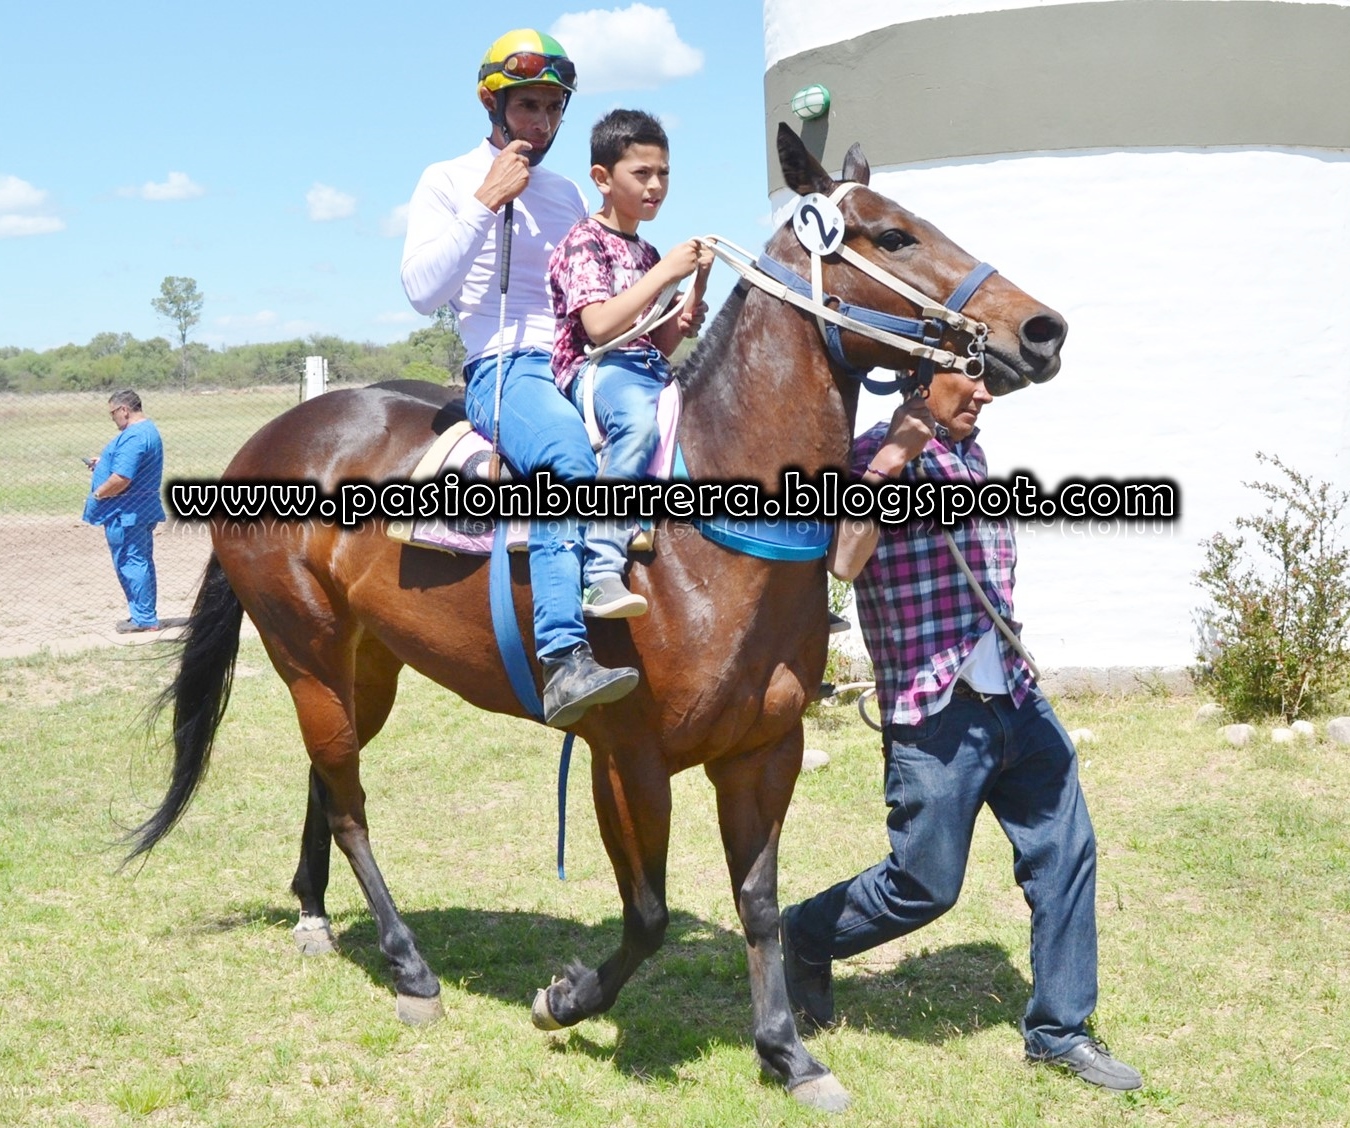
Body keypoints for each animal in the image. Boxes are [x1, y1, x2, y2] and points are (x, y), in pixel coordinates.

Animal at [127, 126, 1066, 1111]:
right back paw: (409, 968)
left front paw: (788, 1053)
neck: (710, 525)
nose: (1043, 328)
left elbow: (759, 903)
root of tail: (268, 441)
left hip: (367, 664)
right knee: (348, 803)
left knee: (325, 777)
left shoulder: (765, 750)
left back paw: (313, 915)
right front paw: (566, 1000)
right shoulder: (627, 757)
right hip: (303, 651)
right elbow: (648, 913)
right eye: (891, 236)